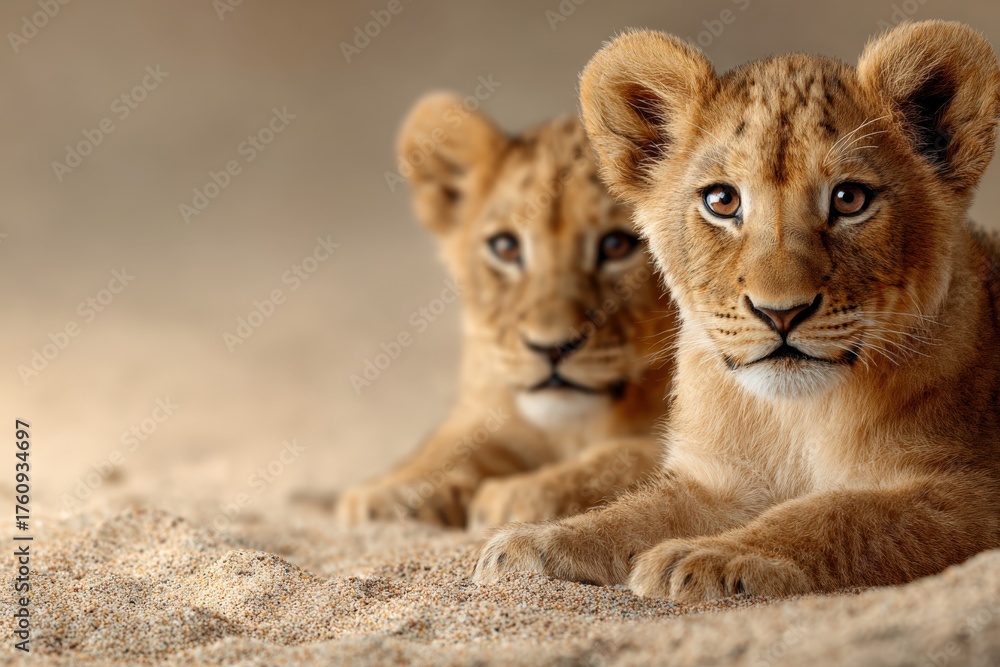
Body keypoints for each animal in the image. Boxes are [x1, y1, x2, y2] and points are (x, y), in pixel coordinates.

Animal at [335, 94, 678, 531]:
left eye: (617, 244)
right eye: (506, 247)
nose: (551, 348)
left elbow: (631, 455)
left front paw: (525, 493)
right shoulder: (490, 404)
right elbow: (446, 446)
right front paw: (392, 493)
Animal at [474, 21, 1000, 603]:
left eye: (849, 199)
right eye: (722, 201)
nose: (781, 314)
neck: (791, 419)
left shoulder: (971, 493)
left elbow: (836, 514)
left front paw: (714, 557)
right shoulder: (719, 482)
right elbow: (635, 513)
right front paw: (535, 544)